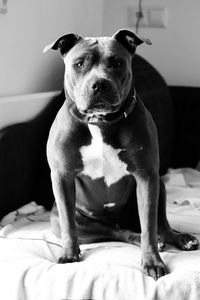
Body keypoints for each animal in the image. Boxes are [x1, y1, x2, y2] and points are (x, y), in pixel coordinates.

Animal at [43, 29, 198, 280]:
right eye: (79, 64)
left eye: (117, 62)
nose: (99, 84)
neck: (101, 122)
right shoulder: (62, 176)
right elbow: (68, 224)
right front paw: (69, 254)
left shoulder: (146, 176)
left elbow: (149, 227)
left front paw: (152, 260)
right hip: (76, 222)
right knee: (118, 232)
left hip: (159, 185)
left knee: (159, 224)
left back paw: (178, 238)